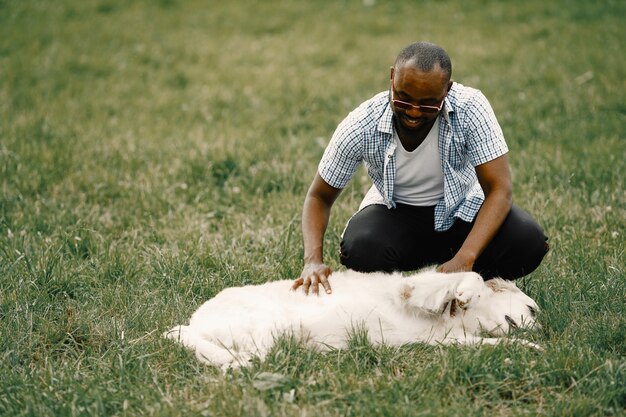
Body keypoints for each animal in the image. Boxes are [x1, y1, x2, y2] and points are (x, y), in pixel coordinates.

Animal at [163, 266, 540, 368]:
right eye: (533, 309)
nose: (541, 323)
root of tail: (194, 320)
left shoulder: (449, 342)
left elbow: (494, 344)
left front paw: (531, 350)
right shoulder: (409, 287)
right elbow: (470, 276)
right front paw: (461, 294)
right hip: (273, 325)